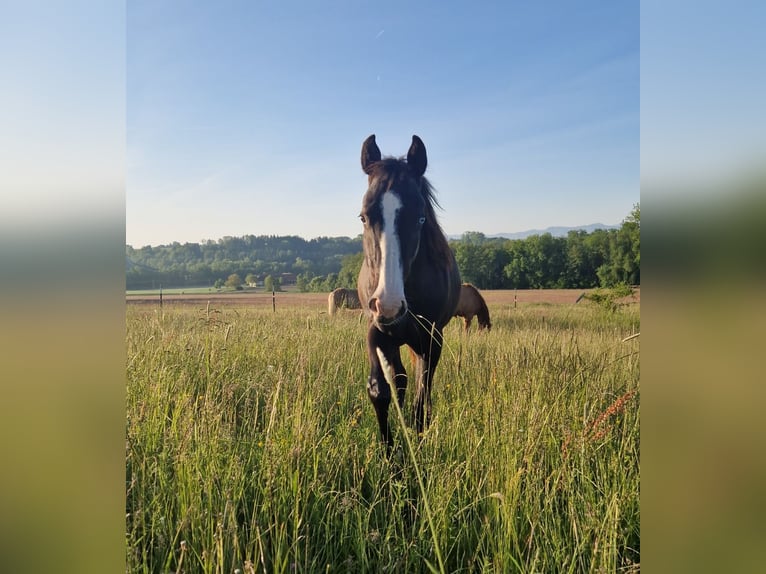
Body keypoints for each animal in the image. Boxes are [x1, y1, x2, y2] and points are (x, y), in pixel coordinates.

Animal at [357, 134, 461, 448]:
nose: (389, 305)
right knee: (400, 380)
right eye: (364, 217)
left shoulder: (432, 338)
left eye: (420, 218)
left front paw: (418, 441)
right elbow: (380, 390)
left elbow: (422, 396)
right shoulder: (376, 330)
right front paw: (390, 453)